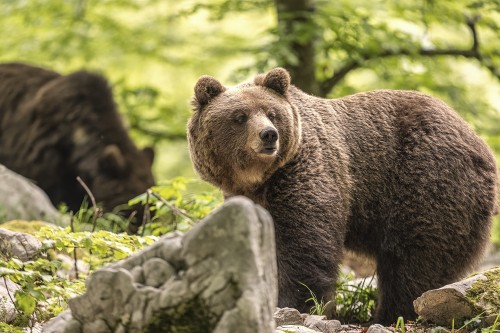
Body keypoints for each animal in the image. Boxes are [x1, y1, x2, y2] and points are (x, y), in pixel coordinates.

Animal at [187, 67, 496, 322]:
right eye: (240, 116)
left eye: (272, 113)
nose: (269, 135)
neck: (259, 179)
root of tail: (478, 141)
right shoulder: (249, 198)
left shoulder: (306, 173)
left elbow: (304, 245)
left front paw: (295, 304)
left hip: (427, 178)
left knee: (417, 257)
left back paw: (392, 313)